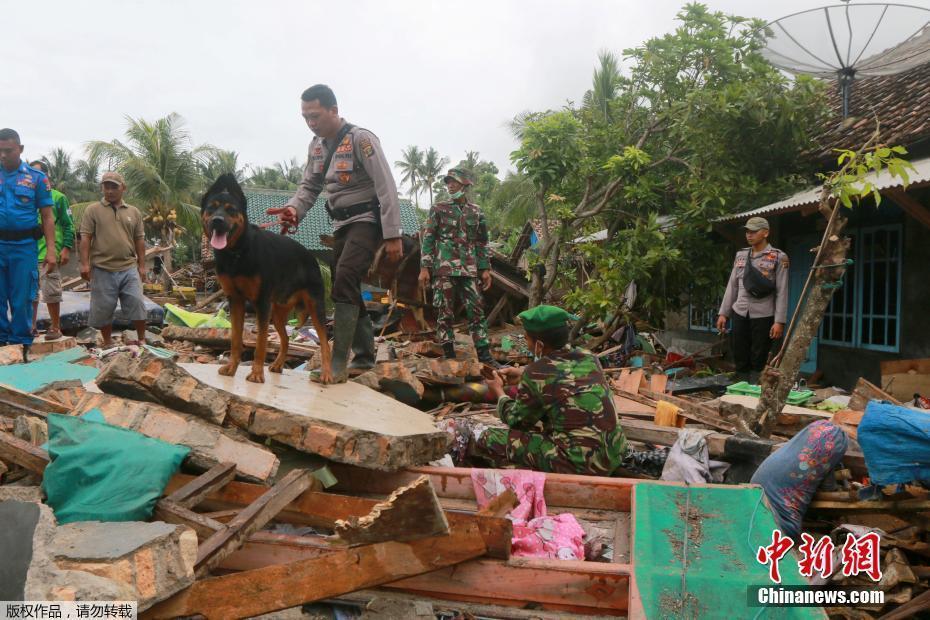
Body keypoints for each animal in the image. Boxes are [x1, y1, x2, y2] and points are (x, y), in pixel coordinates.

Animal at [200, 174, 334, 386]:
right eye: (211, 208)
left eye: (231, 210)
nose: (217, 221)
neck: (237, 252)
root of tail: (311, 257)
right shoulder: (235, 301)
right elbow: (235, 340)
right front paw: (232, 368)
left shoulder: (261, 303)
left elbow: (261, 343)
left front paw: (256, 374)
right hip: (277, 313)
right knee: (286, 339)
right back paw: (278, 365)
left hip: (315, 307)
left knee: (324, 342)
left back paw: (326, 374)